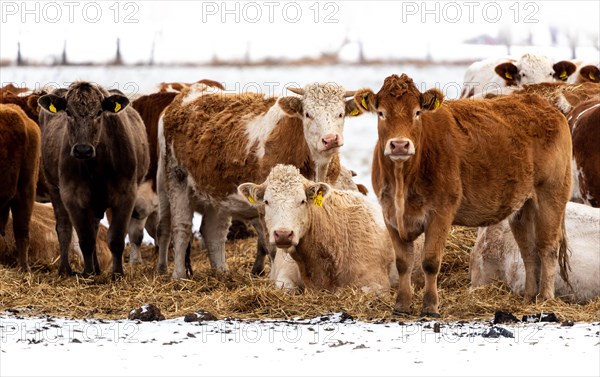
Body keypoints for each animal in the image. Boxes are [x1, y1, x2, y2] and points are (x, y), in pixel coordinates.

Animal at [37, 82, 150, 276]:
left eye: (99, 112)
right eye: (68, 112)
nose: (83, 149)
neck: (97, 169)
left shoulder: (127, 194)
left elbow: (116, 239)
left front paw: (117, 274)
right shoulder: (72, 196)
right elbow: (86, 238)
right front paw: (87, 274)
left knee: (95, 226)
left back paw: (97, 269)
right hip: (54, 188)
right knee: (64, 228)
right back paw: (65, 269)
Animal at [157, 81, 360, 278]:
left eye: (340, 113)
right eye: (308, 114)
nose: (330, 139)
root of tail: (186, 95)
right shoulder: (266, 204)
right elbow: (272, 246)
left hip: (216, 192)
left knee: (214, 231)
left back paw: (221, 273)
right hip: (175, 178)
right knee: (180, 227)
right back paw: (178, 276)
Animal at [356, 72, 572, 314]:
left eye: (417, 112)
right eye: (381, 113)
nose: (400, 145)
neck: (403, 180)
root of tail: (545, 106)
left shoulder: (441, 212)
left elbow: (430, 262)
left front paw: (430, 306)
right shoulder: (389, 214)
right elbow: (403, 263)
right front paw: (401, 305)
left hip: (551, 195)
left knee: (548, 247)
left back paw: (545, 297)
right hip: (522, 207)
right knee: (529, 250)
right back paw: (528, 297)